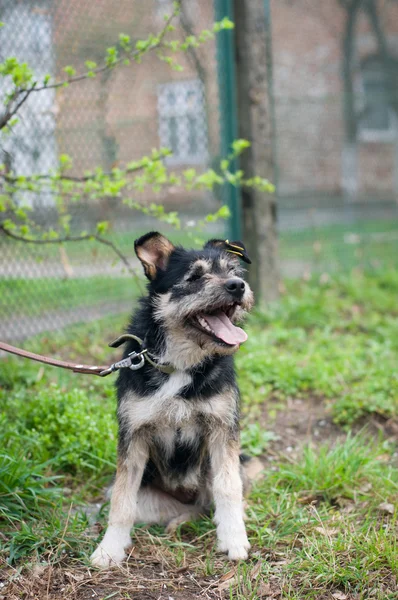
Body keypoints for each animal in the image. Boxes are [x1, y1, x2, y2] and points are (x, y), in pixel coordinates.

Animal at [91, 231, 255, 568]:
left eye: (233, 272)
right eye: (195, 277)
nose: (238, 286)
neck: (180, 362)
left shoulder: (223, 429)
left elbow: (228, 489)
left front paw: (234, 538)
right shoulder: (134, 435)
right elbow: (122, 501)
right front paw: (109, 548)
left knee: (211, 504)